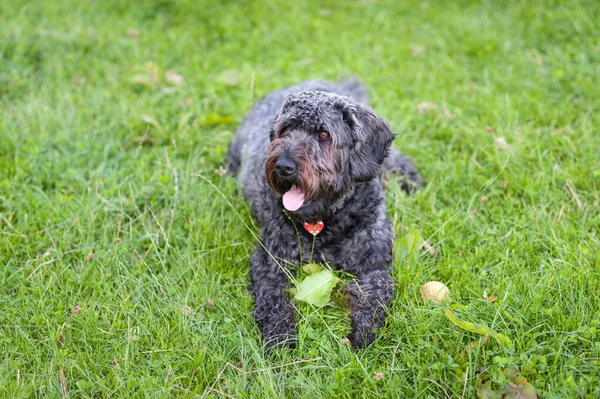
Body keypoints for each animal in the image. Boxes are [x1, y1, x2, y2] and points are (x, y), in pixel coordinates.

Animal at [227, 78, 424, 350]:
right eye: (286, 129)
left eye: (323, 134)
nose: (283, 166)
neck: (325, 220)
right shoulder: (270, 263)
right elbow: (273, 301)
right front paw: (280, 338)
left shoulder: (375, 266)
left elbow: (373, 300)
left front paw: (363, 335)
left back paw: (410, 180)